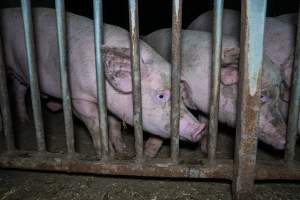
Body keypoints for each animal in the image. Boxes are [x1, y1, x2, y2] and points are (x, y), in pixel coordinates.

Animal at [0, 7, 206, 155]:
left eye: (181, 97)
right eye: (161, 96)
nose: (200, 128)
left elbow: (113, 124)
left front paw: (122, 150)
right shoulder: (79, 97)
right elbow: (96, 123)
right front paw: (107, 154)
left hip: (20, 76)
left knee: (18, 92)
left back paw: (25, 121)